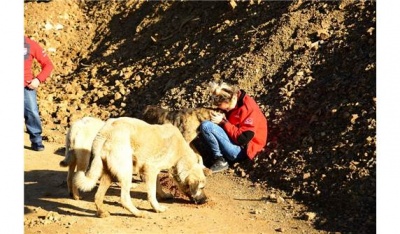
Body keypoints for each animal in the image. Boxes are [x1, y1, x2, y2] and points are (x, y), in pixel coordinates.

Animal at [73, 117, 208, 218]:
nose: (206, 200)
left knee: (98, 196)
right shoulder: (150, 170)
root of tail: (105, 132)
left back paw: (102, 212)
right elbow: (152, 193)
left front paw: (163, 195)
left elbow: (158, 186)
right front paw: (157, 208)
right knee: (124, 198)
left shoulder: (152, 171)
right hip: (126, 171)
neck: (181, 155)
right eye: (202, 187)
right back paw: (138, 213)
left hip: (108, 173)